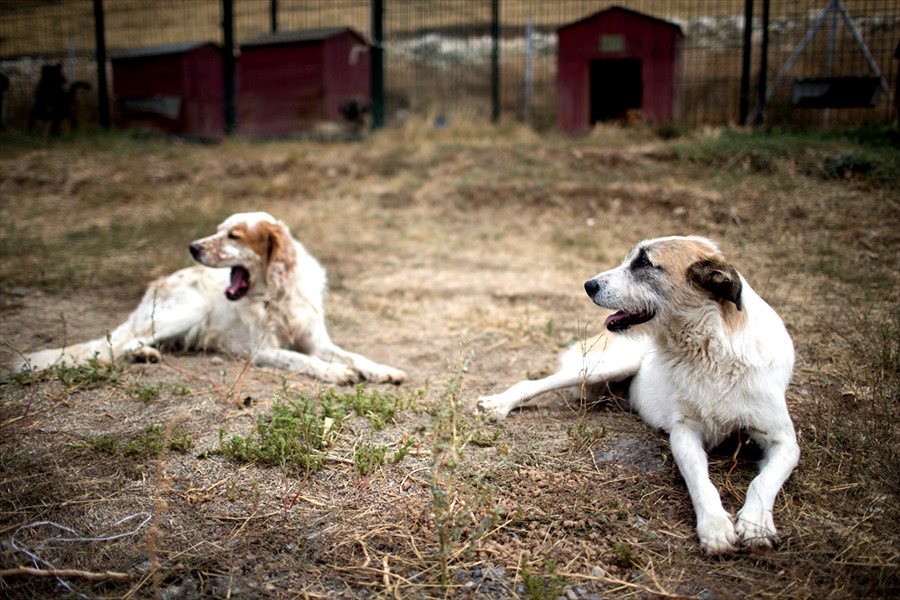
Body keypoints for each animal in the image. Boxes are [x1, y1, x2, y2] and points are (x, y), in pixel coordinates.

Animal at [14, 212, 406, 384]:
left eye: (233, 235)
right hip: (190, 310)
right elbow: (301, 360)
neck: (275, 294)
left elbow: (353, 354)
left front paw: (383, 370)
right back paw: (141, 355)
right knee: (119, 345)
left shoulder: (317, 341)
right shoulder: (258, 351)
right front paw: (337, 372)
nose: (192, 247)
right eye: (218, 230)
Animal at [482, 237, 800, 556]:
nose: (588, 285)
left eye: (645, 262)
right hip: (609, 366)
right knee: (533, 382)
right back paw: (498, 404)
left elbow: (761, 482)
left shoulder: (784, 440)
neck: (712, 352)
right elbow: (701, 481)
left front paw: (756, 524)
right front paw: (715, 527)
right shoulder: (684, 431)